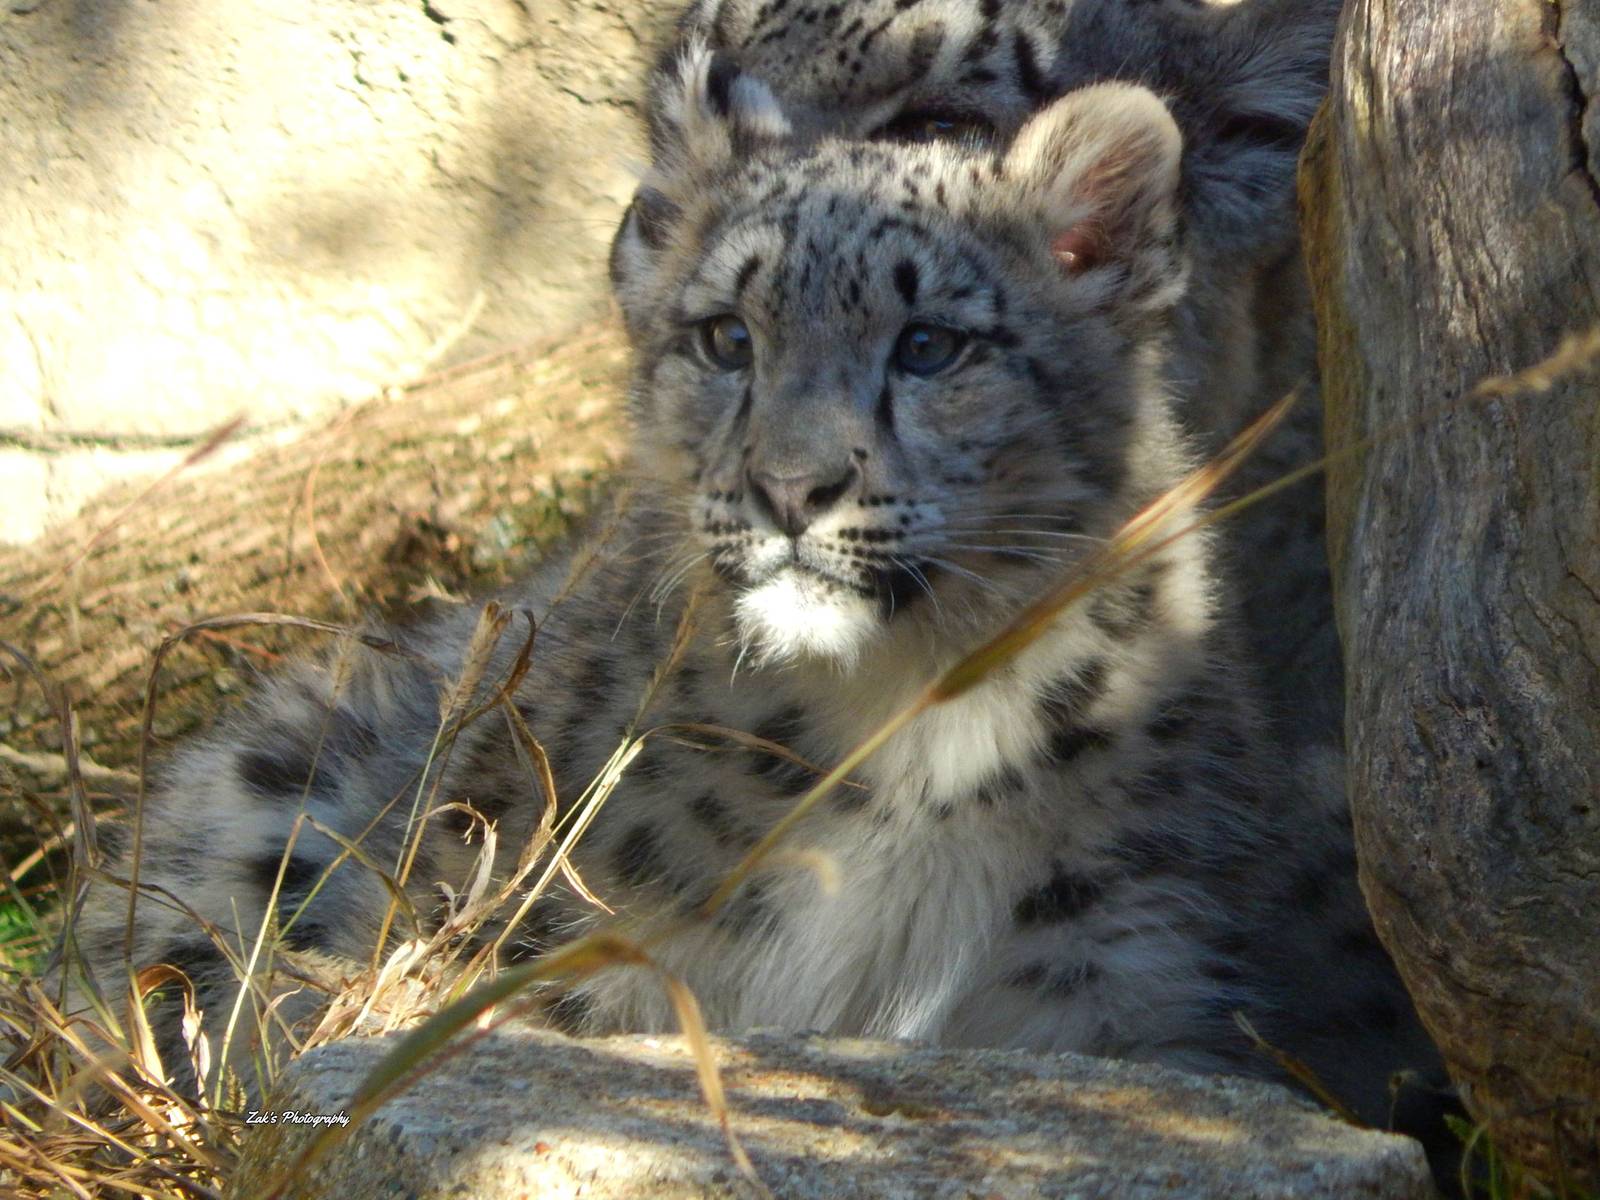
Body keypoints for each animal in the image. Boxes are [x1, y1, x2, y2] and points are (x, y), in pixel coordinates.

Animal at [58, 43, 1444, 1153]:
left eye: (930, 345)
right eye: (727, 336)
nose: (791, 487)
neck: (898, 733)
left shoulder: (1113, 975)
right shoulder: (576, 961)